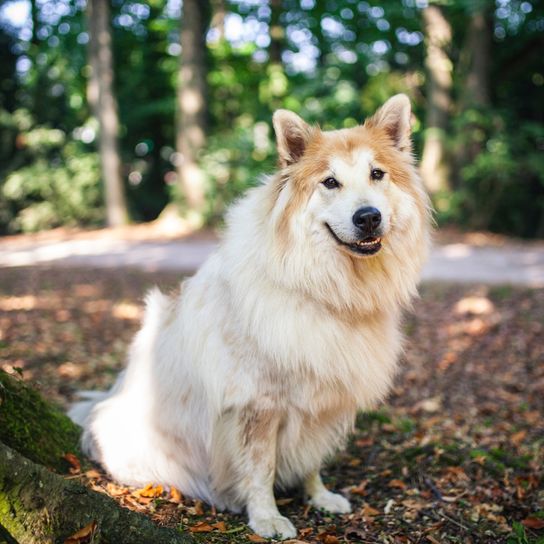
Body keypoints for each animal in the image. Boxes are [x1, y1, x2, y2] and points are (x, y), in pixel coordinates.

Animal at [70, 94, 432, 540]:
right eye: (330, 182)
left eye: (377, 174)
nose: (368, 217)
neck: (319, 286)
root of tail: (103, 402)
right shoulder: (257, 404)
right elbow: (260, 469)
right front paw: (266, 518)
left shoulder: (320, 399)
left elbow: (311, 457)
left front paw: (319, 496)